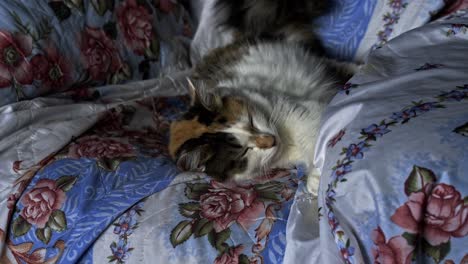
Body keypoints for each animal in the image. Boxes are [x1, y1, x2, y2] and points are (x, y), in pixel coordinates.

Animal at [168, 0, 358, 194]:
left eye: (251, 121)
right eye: (244, 151)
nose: (271, 140)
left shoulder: (304, 112)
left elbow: (317, 135)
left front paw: (318, 175)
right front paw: (315, 180)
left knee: (333, 64)